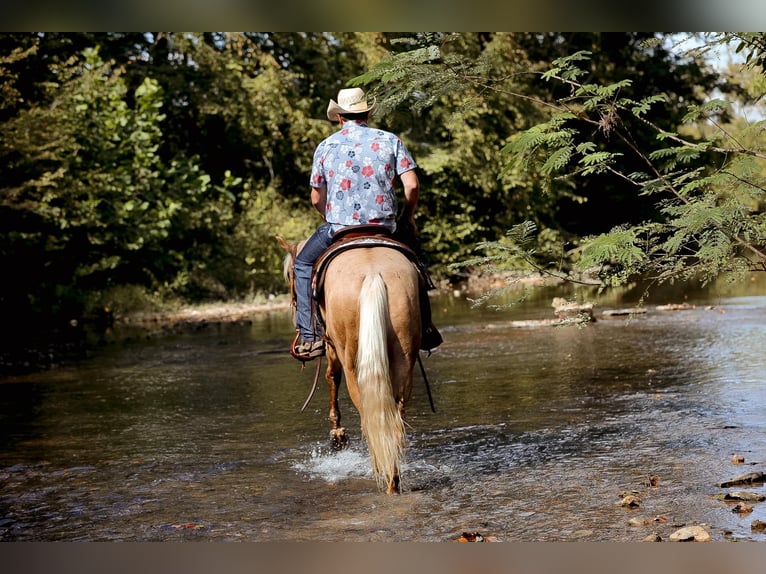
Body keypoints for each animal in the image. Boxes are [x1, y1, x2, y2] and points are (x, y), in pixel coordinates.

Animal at [277, 235, 421, 494]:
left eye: (290, 275)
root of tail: (373, 274)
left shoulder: (332, 346)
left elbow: (331, 377)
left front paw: (337, 436)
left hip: (350, 357)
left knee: (366, 411)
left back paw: (380, 471)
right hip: (404, 357)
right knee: (393, 416)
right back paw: (392, 477)